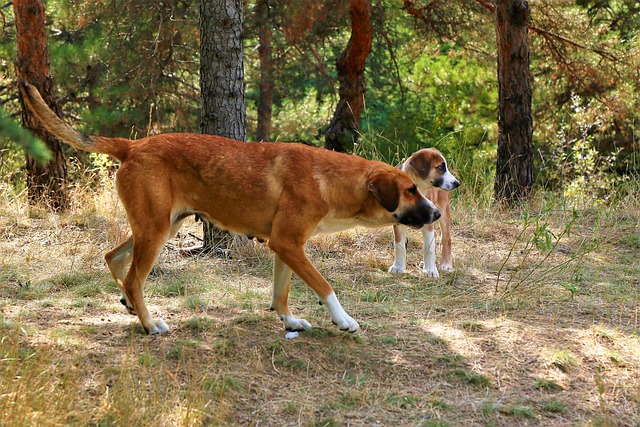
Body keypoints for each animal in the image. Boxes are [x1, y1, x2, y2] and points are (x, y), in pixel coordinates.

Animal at [20, 82, 440, 336]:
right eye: (409, 190)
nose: (437, 215)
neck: (329, 179)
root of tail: (133, 145)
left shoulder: (285, 248)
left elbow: (281, 293)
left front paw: (289, 320)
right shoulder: (289, 245)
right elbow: (325, 286)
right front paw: (344, 320)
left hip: (162, 226)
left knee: (114, 258)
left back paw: (128, 303)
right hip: (155, 232)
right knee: (135, 277)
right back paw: (149, 323)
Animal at [388, 149, 458, 280]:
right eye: (440, 167)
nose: (457, 183)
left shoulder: (430, 221)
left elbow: (429, 248)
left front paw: (430, 270)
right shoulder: (398, 222)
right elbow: (399, 246)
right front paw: (398, 267)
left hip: (444, 209)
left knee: (446, 238)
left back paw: (446, 265)